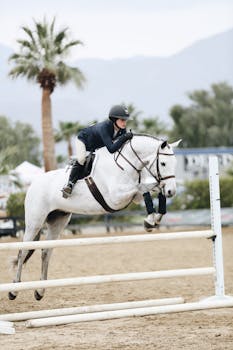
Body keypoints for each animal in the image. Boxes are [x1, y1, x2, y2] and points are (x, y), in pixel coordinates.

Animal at [9, 135, 181, 300]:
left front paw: (153, 219)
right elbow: (144, 188)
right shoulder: (116, 198)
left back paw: (40, 291)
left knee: (46, 251)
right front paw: (150, 219)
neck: (127, 163)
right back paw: (14, 290)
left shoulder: (133, 197)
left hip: (58, 221)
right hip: (35, 222)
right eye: (163, 163)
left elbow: (151, 189)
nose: (172, 191)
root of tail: (33, 184)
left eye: (175, 163)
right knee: (22, 251)